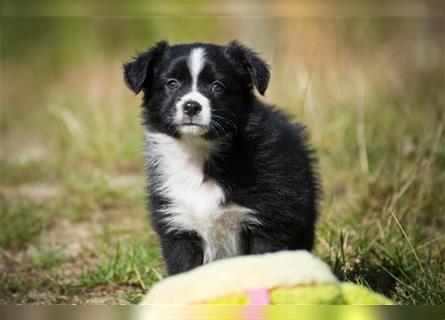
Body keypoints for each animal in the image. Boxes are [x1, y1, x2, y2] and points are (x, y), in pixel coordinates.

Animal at [124, 40, 320, 276]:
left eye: (217, 86)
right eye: (172, 84)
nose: (191, 106)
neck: (198, 151)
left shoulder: (269, 220)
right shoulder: (178, 224)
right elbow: (184, 268)